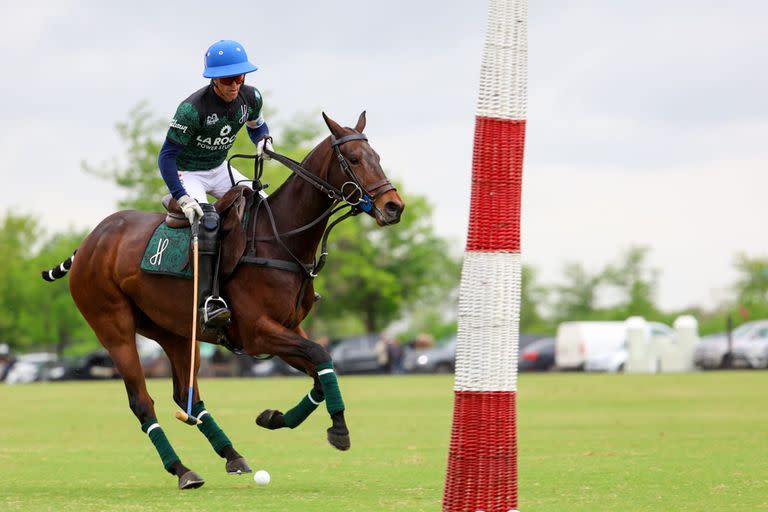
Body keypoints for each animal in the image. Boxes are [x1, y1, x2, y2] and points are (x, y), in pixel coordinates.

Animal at [41, 112, 402, 488]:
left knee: (188, 395)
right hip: (114, 329)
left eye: (377, 156)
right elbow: (320, 356)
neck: (279, 239)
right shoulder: (258, 332)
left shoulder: (289, 328)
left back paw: (232, 454)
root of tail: (88, 242)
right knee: (142, 401)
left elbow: (320, 369)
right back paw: (182, 470)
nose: (394, 206)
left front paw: (273, 418)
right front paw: (339, 429)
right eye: (355, 159)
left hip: (174, 332)